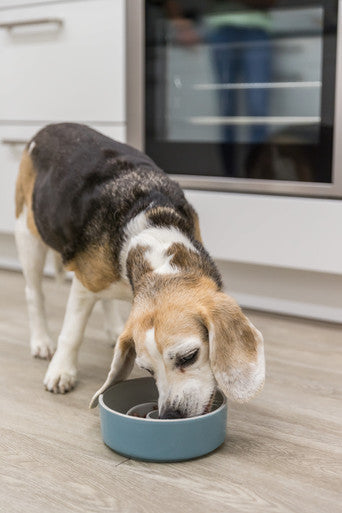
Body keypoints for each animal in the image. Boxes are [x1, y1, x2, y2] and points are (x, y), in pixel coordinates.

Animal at [15, 123, 264, 416]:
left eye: (189, 357)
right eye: (147, 370)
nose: (170, 415)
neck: (153, 232)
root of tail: (48, 128)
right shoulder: (84, 285)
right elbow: (72, 333)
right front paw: (61, 371)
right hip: (27, 234)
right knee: (33, 294)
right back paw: (41, 341)